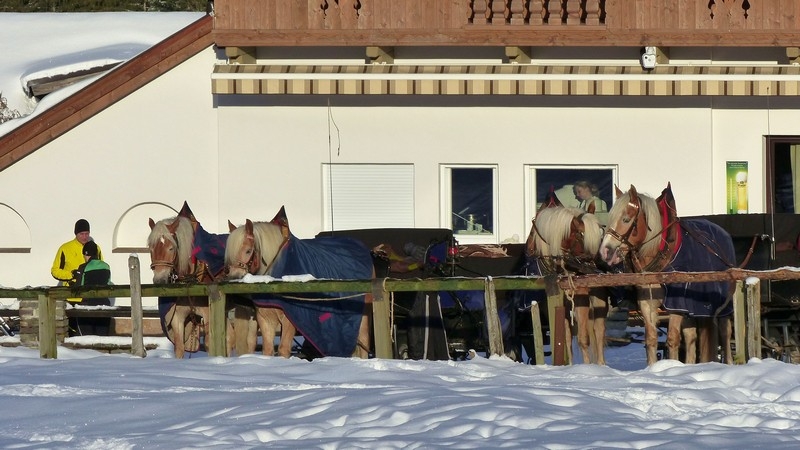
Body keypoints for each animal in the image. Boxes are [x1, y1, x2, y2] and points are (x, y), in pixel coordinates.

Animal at [147, 202, 253, 356]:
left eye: (171, 248)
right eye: (151, 248)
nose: (160, 280)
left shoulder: (209, 315)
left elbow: (210, 345)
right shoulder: (178, 319)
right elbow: (179, 347)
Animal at [225, 207, 376, 358]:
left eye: (248, 251)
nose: (233, 277)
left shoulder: (290, 320)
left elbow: (283, 349)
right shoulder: (265, 319)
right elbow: (267, 350)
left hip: (362, 318)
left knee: (364, 343)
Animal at [520, 195, 608, 364]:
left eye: (600, 234)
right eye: (580, 234)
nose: (594, 265)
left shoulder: (580, 295)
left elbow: (583, 338)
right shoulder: (551, 301)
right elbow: (565, 338)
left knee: (599, 331)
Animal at [600, 184, 732, 366]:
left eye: (626, 219)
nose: (605, 251)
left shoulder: (675, 304)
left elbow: (672, 338)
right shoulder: (647, 303)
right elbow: (651, 339)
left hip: (723, 304)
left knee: (726, 332)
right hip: (692, 309)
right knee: (691, 337)